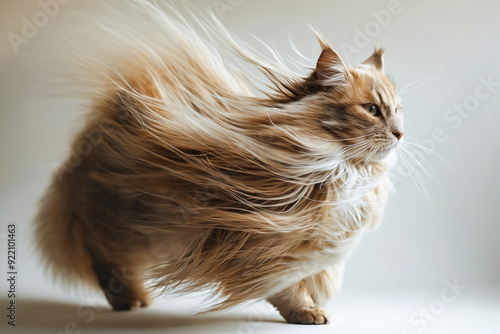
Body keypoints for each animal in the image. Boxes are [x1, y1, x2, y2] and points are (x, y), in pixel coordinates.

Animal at [34, 1, 402, 324]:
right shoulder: (262, 244)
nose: (400, 133)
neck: (343, 171)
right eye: (371, 109)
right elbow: (287, 290)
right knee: (105, 259)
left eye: (398, 111)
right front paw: (308, 313)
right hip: (121, 225)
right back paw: (130, 299)